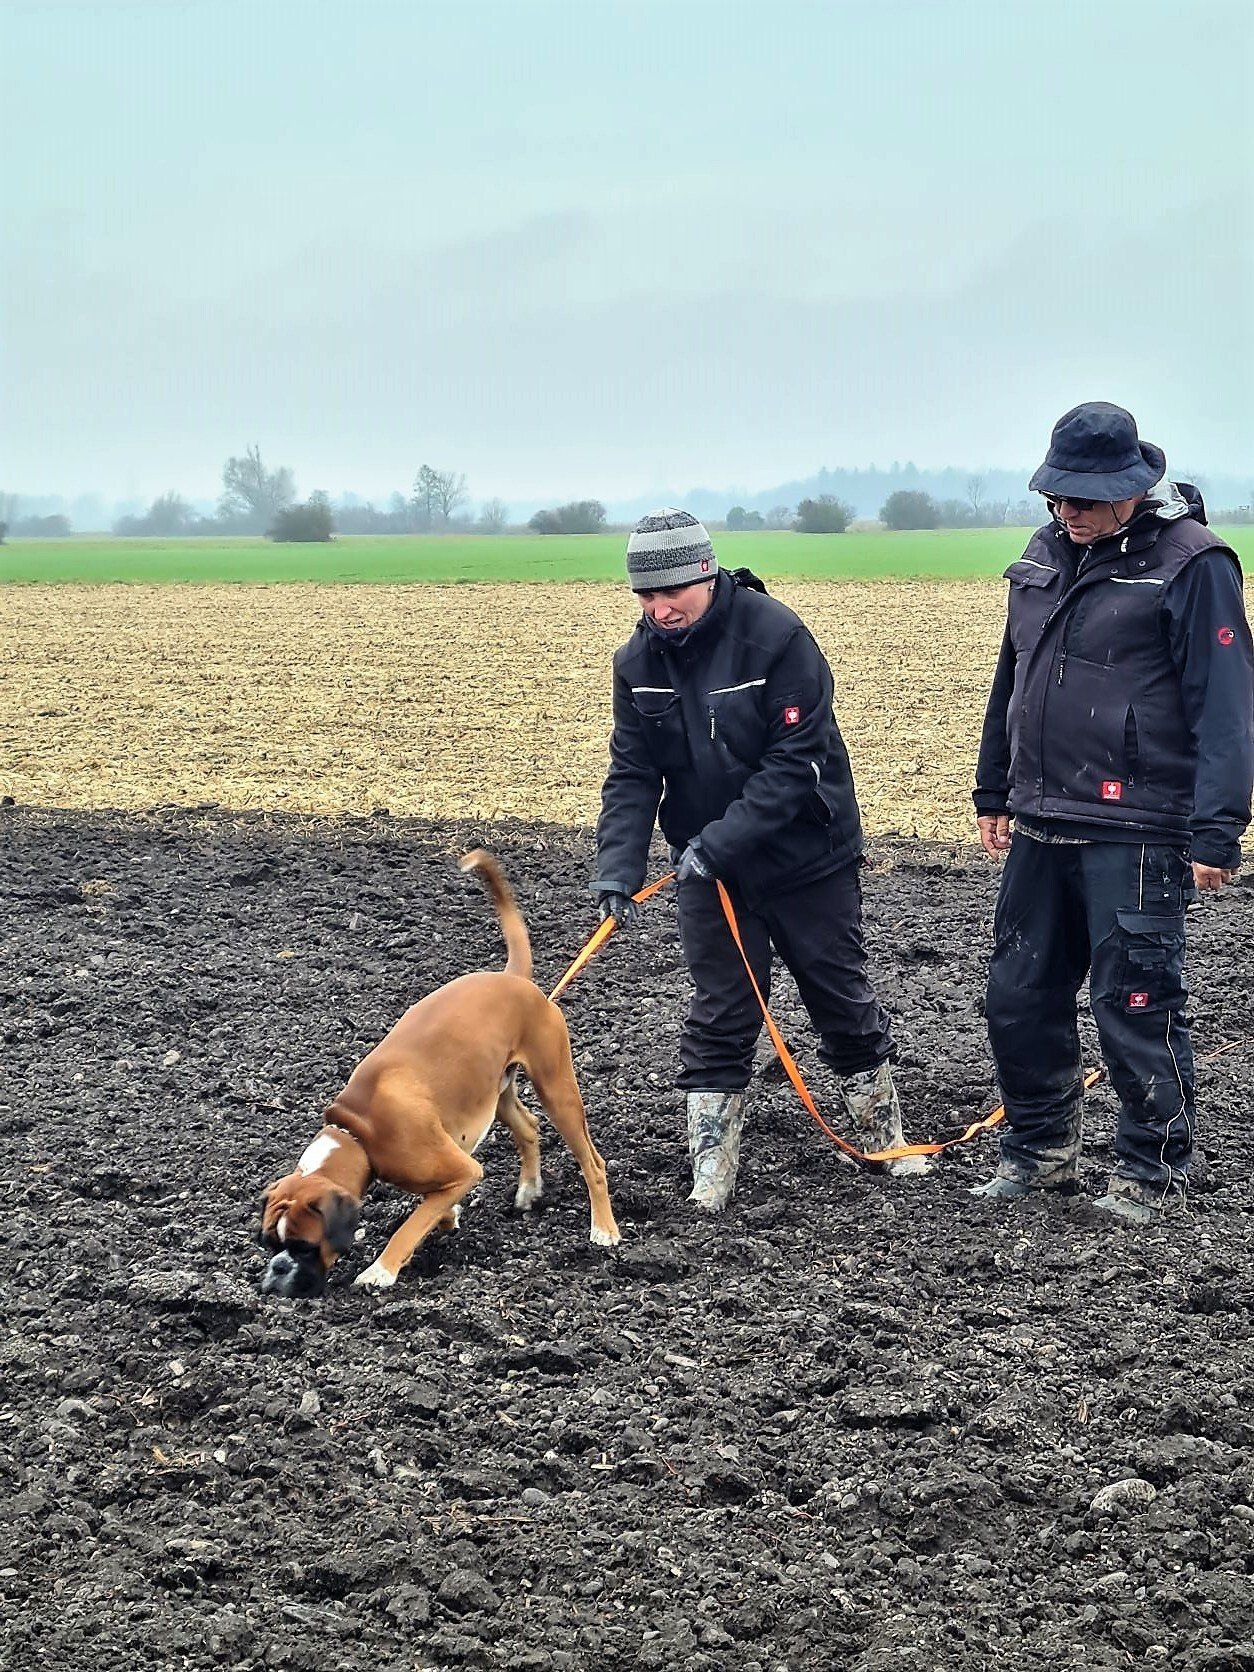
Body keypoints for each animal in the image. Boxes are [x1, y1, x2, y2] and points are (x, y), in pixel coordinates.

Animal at [260, 850, 621, 1297]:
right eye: (269, 1243)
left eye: (304, 1247)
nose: (276, 1271)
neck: (359, 1132)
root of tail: (514, 979)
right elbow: (433, 1207)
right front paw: (449, 1217)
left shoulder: (464, 1169)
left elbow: (410, 1225)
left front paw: (381, 1271)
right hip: (496, 1093)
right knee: (529, 1127)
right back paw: (528, 1189)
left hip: (556, 1088)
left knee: (593, 1163)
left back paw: (604, 1228)